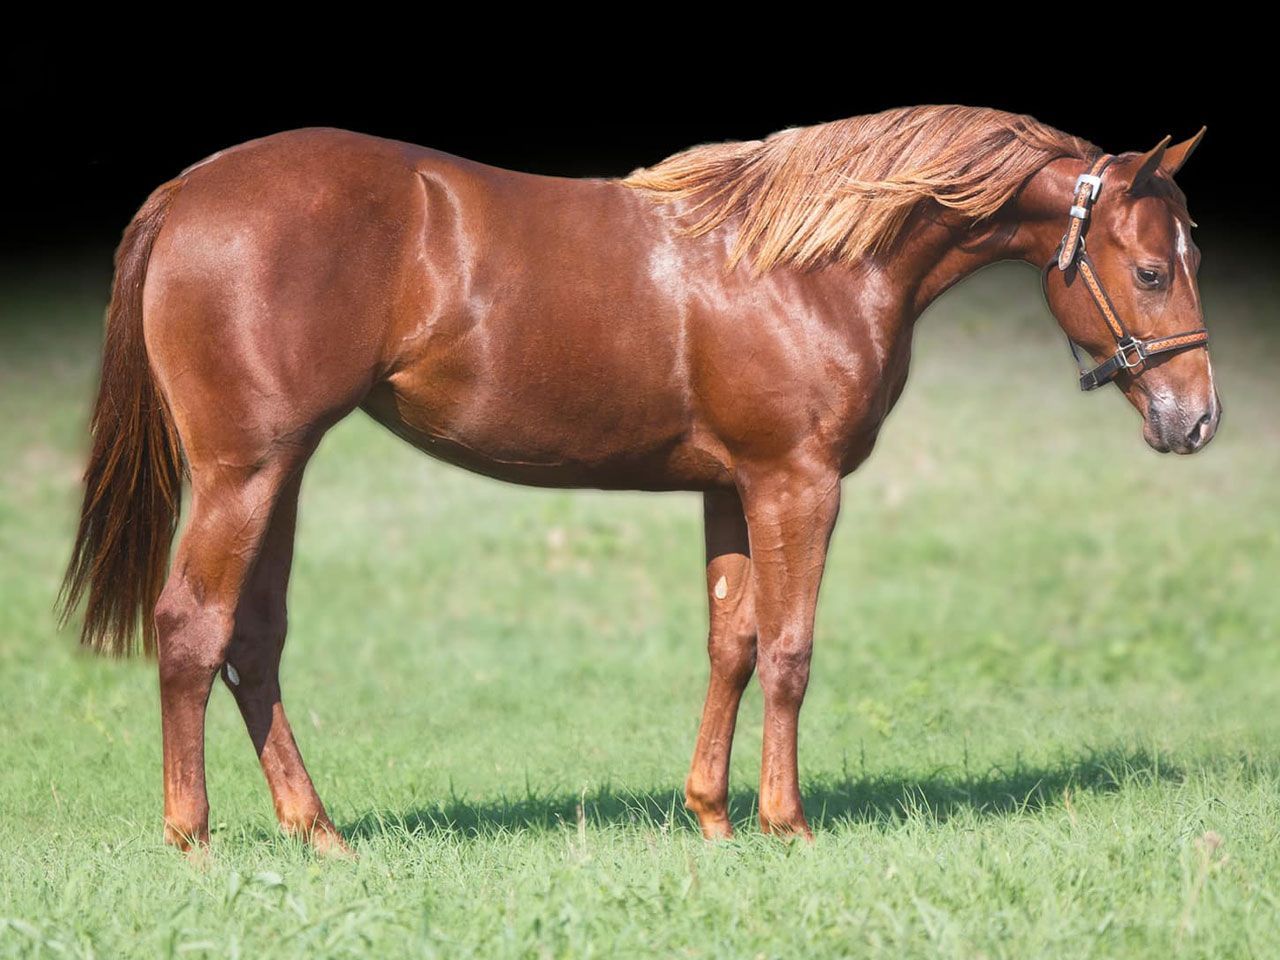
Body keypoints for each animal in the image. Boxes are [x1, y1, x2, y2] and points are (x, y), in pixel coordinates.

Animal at [60, 105, 1217, 855]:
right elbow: (789, 651)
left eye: (1189, 258)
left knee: (251, 644)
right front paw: (788, 824)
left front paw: (711, 817)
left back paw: (320, 835)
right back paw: (195, 840)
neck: (803, 263)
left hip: (281, 472)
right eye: (1151, 269)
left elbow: (731, 644)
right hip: (243, 474)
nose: (1194, 418)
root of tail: (187, 191)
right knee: (191, 629)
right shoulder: (797, 482)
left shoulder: (731, 489)